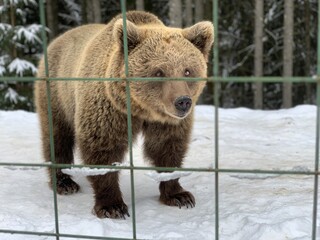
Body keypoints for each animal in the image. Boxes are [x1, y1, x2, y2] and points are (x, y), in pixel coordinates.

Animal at [34, 11, 212, 218]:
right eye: (159, 71)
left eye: (187, 70)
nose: (182, 101)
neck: (141, 109)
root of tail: (58, 39)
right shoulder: (109, 111)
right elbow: (103, 150)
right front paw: (112, 206)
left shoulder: (166, 121)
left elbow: (168, 147)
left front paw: (179, 195)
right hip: (56, 94)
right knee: (57, 138)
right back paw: (65, 183)